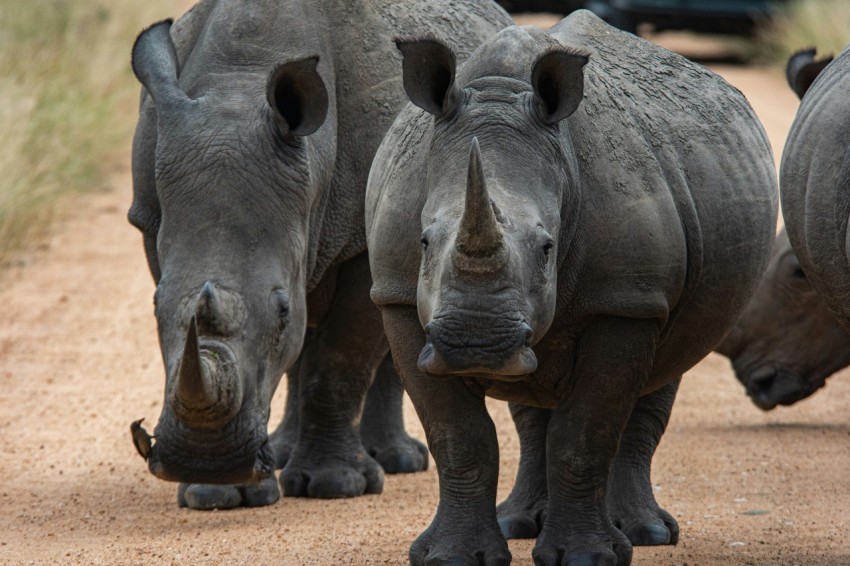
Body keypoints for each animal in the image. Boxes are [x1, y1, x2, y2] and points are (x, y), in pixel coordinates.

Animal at [128, 0, 511, 509]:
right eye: (153, 309)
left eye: (281, 312)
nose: (205, 459)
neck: (237, 85)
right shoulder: (152, 220)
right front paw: (216, 494)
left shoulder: (362, 243)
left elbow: (340, 358)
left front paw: (335, 486)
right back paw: (283, 453)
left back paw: (395, 461)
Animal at [366, 10, 776, 565]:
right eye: (425, 241)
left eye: (547, 248)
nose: (476, 344)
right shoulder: (398, 298)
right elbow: (458, 436)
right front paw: (451, 556)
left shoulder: (626, 301)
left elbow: (584, 435)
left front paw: (587, 556)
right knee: (533, 393)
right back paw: (519, 524)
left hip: (661, 270)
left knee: (663, 368)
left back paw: (644, 534)